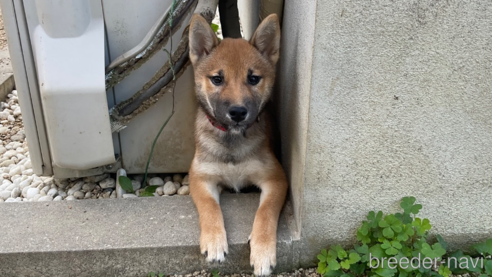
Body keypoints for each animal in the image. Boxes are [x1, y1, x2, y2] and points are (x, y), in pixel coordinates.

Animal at [188, 12, 288, 274]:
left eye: (253, 78)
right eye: (217, 79)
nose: (238, 112)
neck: (231, 141)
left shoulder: (275, 179)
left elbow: (265, 213)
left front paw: (262, 251)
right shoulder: (200, 178)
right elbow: (209, 208)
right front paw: (214, 241)